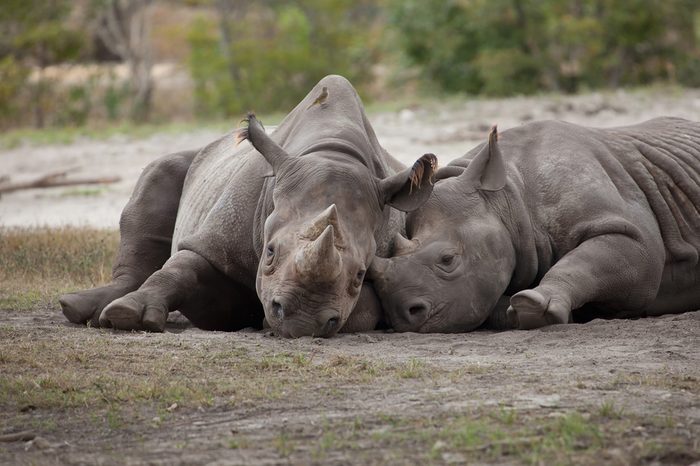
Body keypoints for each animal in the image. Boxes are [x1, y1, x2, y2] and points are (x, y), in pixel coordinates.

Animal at [59, 75, 437, 337]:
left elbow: (363, 309)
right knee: (159, 173)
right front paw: (127, 317)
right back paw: (84, 308)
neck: (331, 151)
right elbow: (180, 267)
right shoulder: (215, 237)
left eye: (360, 274)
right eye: (269, 252)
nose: (301, 322)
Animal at [369, 117, 700, 332]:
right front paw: (516, 312)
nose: (403, 316)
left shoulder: (632, 235)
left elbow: (599, 258)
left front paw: (533, 306)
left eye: (448, 259)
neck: (510, 199)